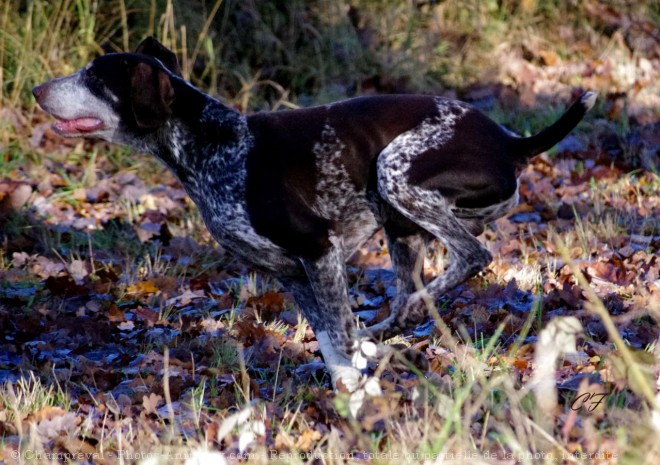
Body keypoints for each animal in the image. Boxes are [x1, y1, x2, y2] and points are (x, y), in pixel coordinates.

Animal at [33, 37, 596, 392]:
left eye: (94, 77)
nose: (36, 89)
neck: (213, 144)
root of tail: (511, 141)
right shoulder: (292, 271)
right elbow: (329, 339)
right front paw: (348, 387)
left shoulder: (319, 249)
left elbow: (340, 332)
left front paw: (360, 385)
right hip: (401, 226)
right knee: (409, 294)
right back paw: (386, 330)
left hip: (395, 172)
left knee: (468, 259)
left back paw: (389, 327)